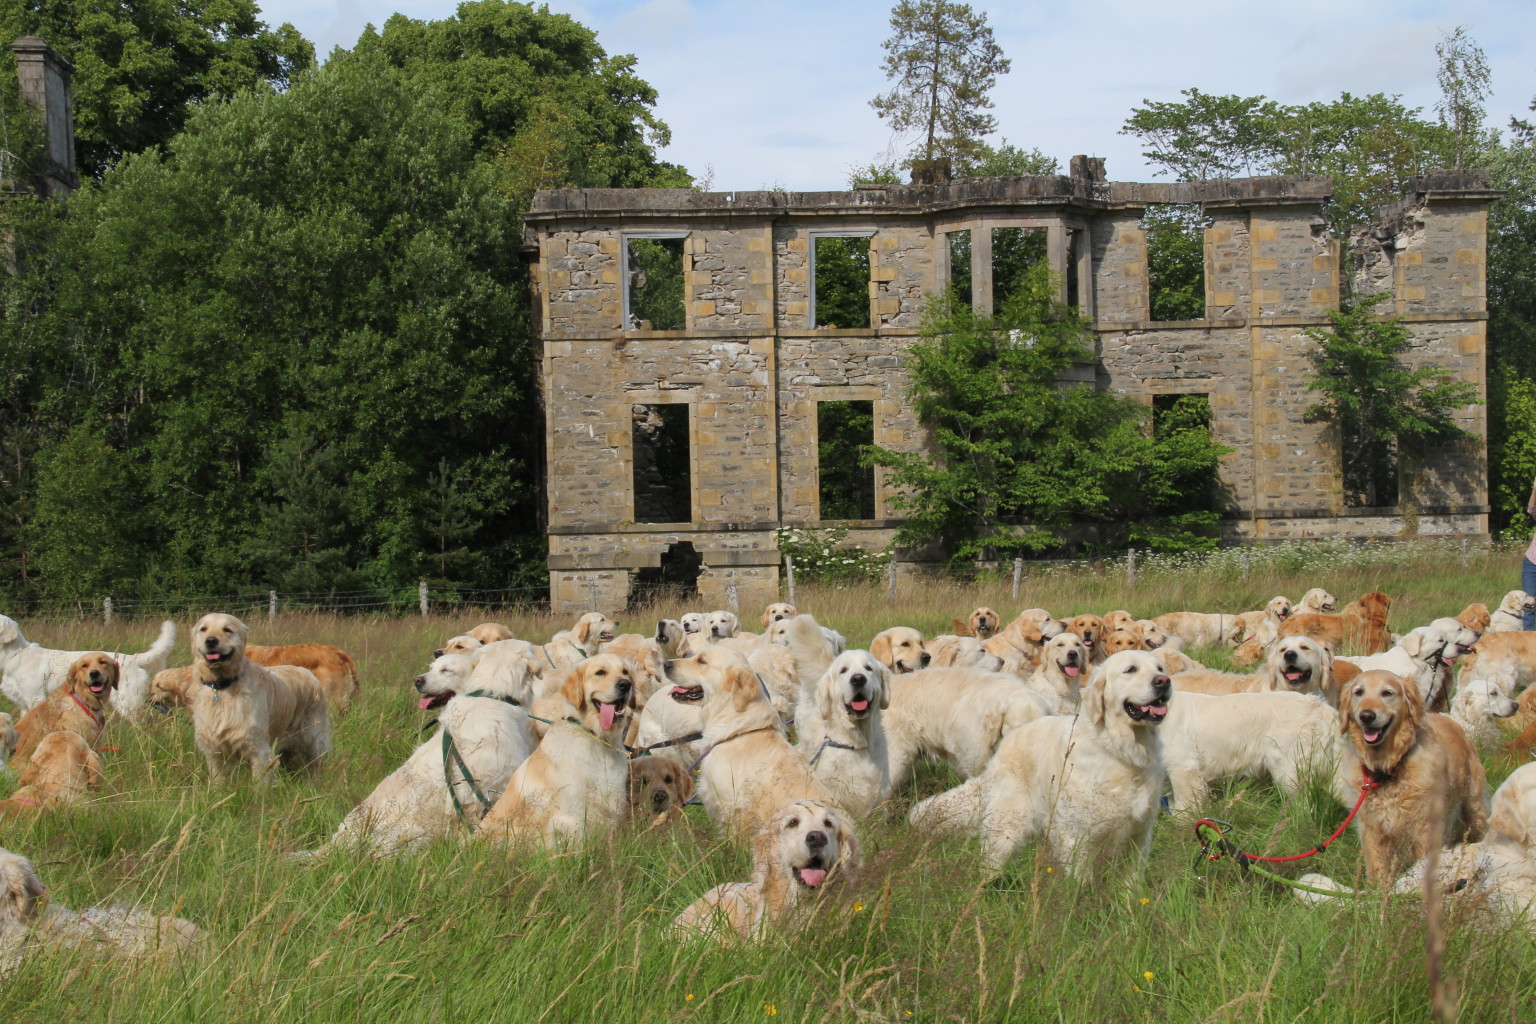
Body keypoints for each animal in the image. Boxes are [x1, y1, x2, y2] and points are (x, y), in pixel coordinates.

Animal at [185, 617, 330, 786]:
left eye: (227, 629)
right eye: (203, 629)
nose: (211, 641)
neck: (221, 687)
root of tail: (307, 672)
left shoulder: (258, 747)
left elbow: (260, 782)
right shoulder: (213, 747)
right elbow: (217, 778)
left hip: (314, 736)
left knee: (318, 758)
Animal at [903, 654, 1167, 878]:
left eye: (1160, 668)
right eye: (1130, 669)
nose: (1164, 682)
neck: (1123, 754)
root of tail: (1004, 747)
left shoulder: (1139, 837)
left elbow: (1131, 886)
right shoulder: (1076, 837)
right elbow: (1082, 886)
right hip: (1007, 829)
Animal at [1333, 669, 1486, 884]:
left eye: (1387, 693)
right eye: (1358, 692)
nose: (1366, 715)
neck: (1386, 768)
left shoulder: (1424, 827)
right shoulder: (1372, 829)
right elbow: (1377, 870)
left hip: (1473, 804)